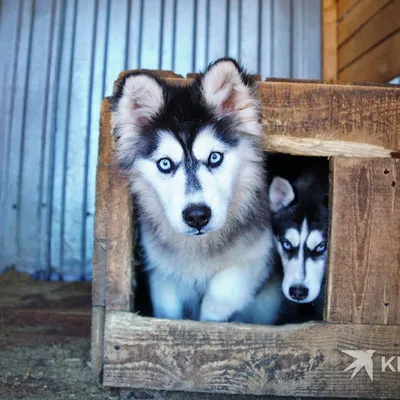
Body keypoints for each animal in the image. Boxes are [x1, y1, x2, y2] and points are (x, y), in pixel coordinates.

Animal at [111, 58, 276, 322]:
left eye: (215, 157)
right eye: (165, 164)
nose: (197, 216)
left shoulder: (257, 255)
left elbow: (219, 297)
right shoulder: (162, 273)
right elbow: (169, 311)